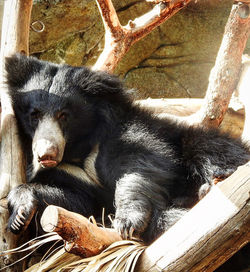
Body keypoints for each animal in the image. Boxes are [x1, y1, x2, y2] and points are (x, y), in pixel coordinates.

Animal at [5, 54, 250, 243]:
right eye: (34, 115)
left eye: (64, 116)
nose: (46, 155)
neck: (78, 150)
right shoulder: (69, 176)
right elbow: (81, 205)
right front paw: (20, 215)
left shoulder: (125, 133)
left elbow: (141, 163)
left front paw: (127, 222)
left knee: (207, 146)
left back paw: (215, 181)